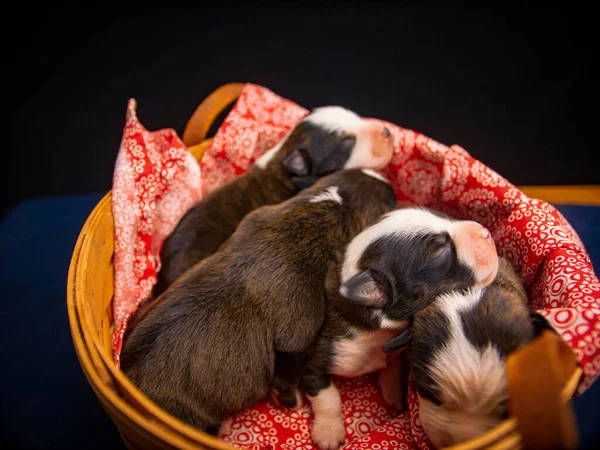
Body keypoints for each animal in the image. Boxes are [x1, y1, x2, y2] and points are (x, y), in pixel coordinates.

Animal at [118, 169, 398, 436]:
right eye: (390, 203)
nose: (389, 182)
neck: (332, 206)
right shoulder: (298, 338)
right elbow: (287, 374)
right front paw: (289, 399)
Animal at [296, 207, 502, 450]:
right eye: (439, 252)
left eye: (445, 216)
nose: (485, 232)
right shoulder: (314, 360)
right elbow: (327, 395)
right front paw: (329, 432)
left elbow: (392, 367)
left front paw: (394, 393)